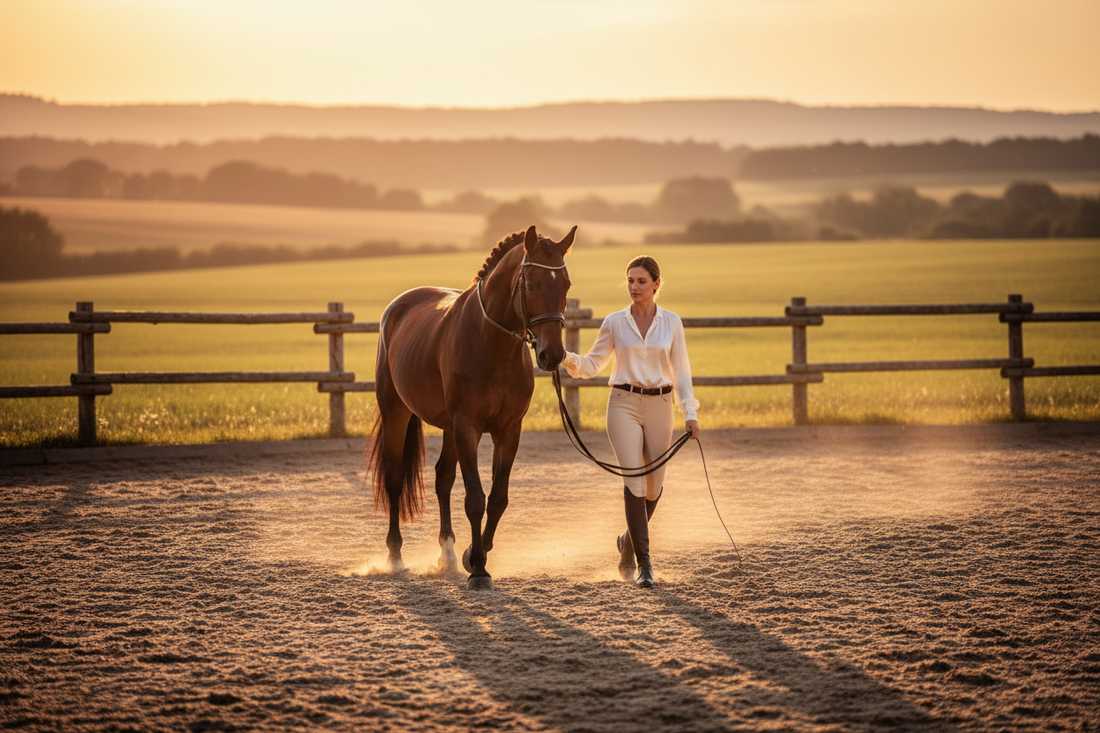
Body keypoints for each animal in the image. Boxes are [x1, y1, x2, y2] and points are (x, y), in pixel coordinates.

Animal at [367, 224, 576, 590]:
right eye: (532, 285)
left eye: (565, 285)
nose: (552, 355)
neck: (492, 344)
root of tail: (398, 307)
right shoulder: (468, 428)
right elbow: (476, 499)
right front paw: (479, 569)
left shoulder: (508, 431)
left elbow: (498, 498)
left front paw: (471, 555)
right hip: (397, 413)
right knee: (394, 479)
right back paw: (394, 555)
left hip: (449, 428)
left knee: (443, 479)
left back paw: (448, 554)